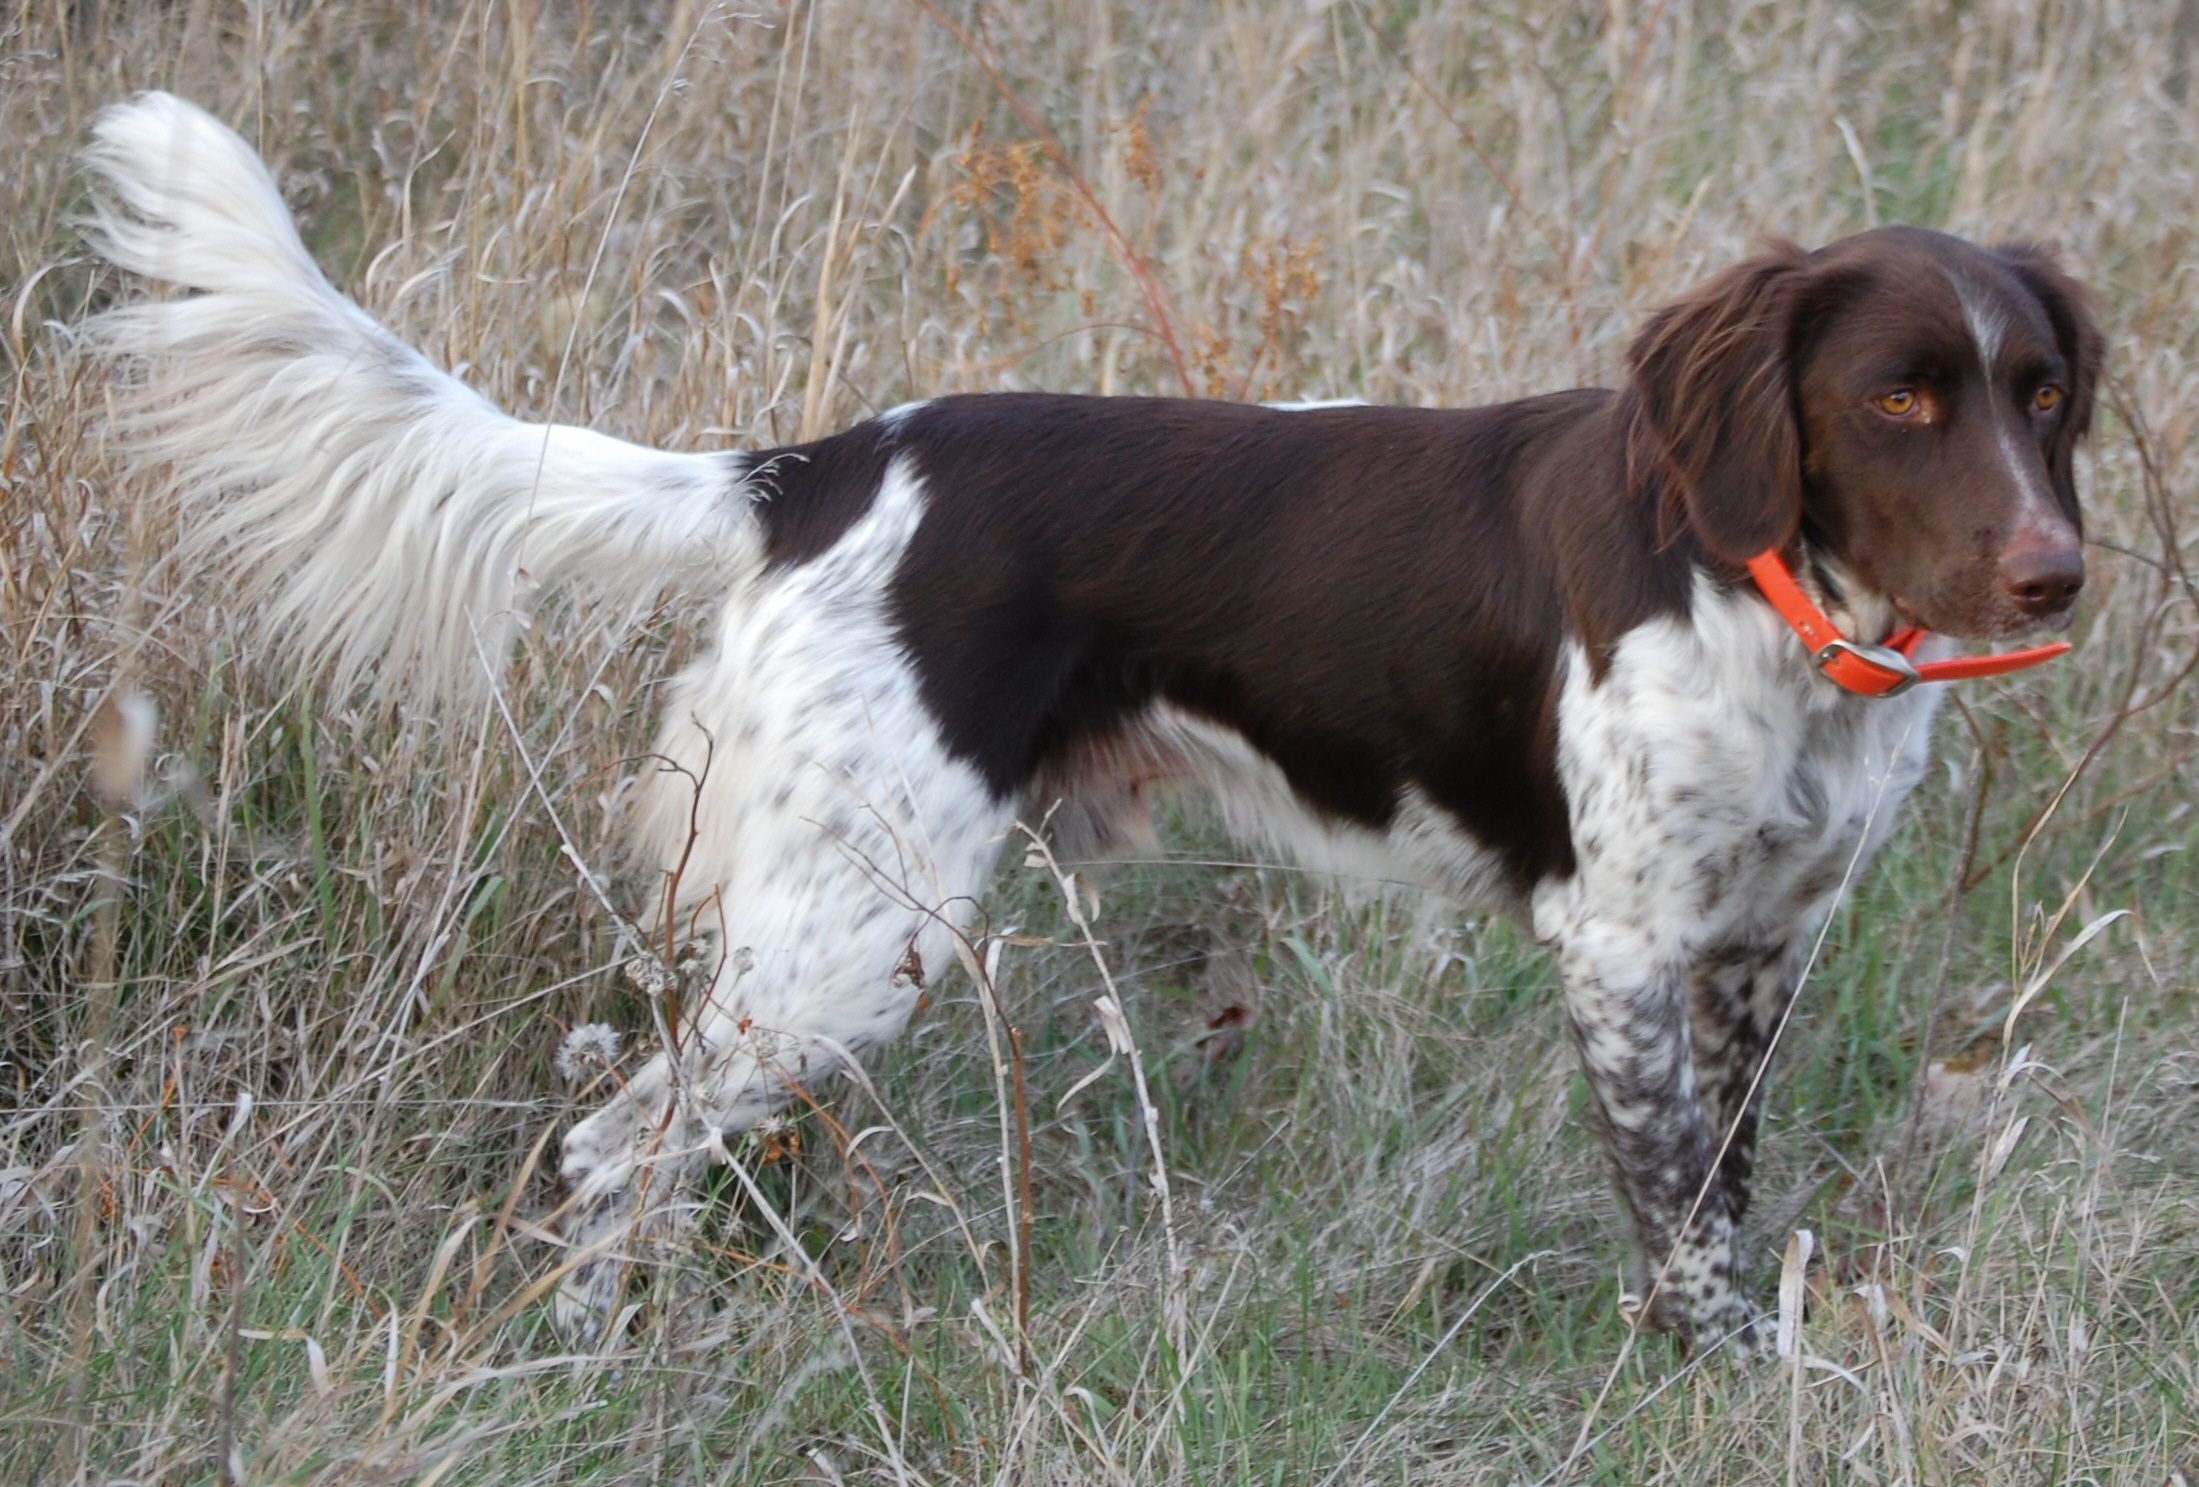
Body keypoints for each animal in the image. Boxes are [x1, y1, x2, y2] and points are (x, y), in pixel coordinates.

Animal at [85, 92, 2102, 1346]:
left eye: (2037, 391)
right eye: (1896, 396)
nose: (2052, 574)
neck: (1777, 610)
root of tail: (822, 464)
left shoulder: (1758, 944)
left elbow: (1726, 1197)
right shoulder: (1618, 949)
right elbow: (1678, 1221)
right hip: (849, 936)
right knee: (610, 1153)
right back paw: (586, 1359)